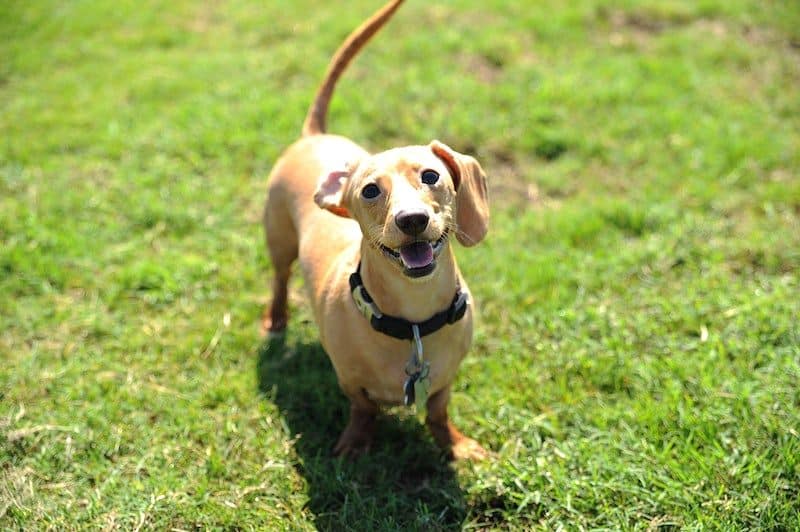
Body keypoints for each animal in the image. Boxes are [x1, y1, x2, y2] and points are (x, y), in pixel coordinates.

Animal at [262, 0, 488, 462]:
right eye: (369, 190)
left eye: (431, 175)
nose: (412, 219)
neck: (414, 320)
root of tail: (315, 136)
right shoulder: (348, 379)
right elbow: (362, 408)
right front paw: (354, 444)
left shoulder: (446, 379)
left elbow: (438, 409)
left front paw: (456, 445)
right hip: (278, 239)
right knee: (279, 278)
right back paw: (276, 318)